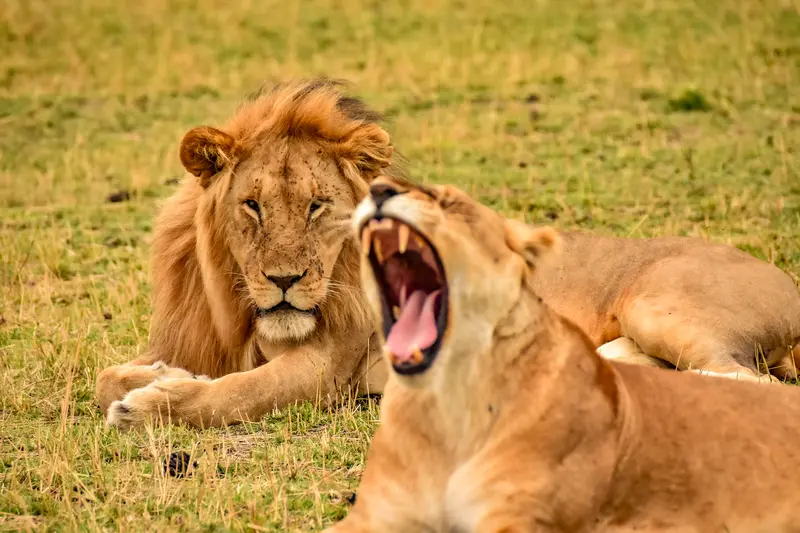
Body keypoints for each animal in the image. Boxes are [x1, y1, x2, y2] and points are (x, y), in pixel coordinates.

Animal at [96, 79, 396, 429]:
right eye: (252, 205)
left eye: (316, 206)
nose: (285, 280)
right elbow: (104, 378)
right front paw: (170, 374)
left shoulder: (330, 364)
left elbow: (243, 389)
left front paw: (148, 407)